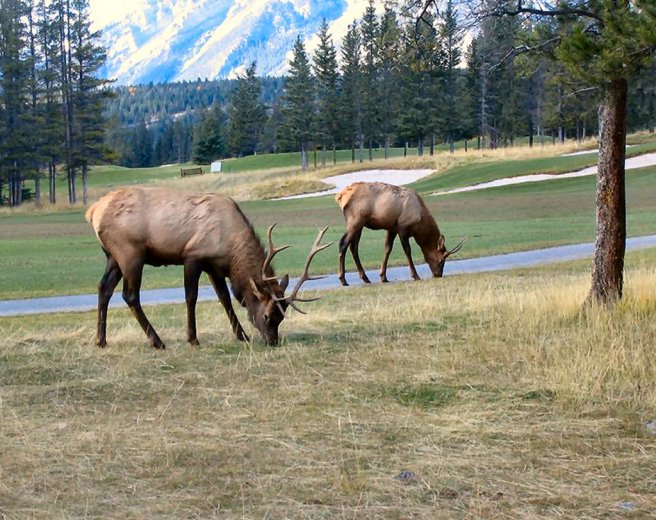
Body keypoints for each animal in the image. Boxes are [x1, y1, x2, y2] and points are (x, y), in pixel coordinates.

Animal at [85, 186, 332, 349]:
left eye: (282, 317)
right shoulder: (193, 256)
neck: (231, 249)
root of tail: (93, 211)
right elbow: (191, 297)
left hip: (113, 257)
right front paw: (193, 338)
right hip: (131, 253)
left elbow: (225, 299)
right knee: (130, 295)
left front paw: (242, 335)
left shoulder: (214, 266)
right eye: (267, 316)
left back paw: (101, 339)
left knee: (103, 288)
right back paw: (157, 341)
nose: (272, 341)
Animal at [336, 182, 467, 286]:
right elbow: (407, 251)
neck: (420, 220)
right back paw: (343, 279)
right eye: (441, 260)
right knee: (343, 243)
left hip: (359, 224)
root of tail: (340, 196)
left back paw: (365, 278)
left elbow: (387, 249)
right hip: (355, 220)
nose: (438, 274)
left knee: (353, 247)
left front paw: (383, 277)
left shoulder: (392, 228)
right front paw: (415, 276)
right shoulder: (402, 228)